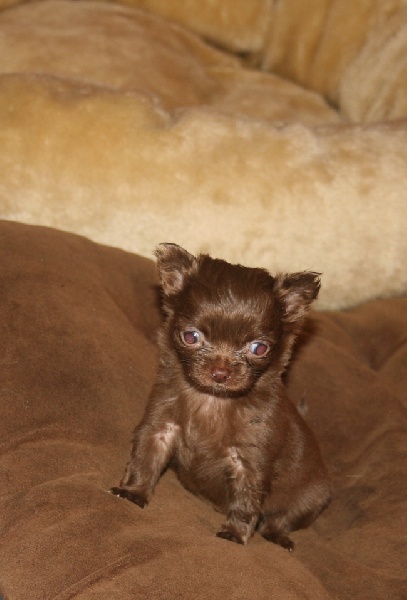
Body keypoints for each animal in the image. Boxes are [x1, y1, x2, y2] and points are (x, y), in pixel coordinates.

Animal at [110, 243, 331, 549]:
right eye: (191, 337)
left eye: (259, 348)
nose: (220, 372)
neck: (213, 400)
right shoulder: (159, 428)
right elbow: (145, 460)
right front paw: (133, 491)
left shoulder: (249, 463)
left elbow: (246, 502)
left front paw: (234, 534)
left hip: (311, 498)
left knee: (280, 519)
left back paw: (278, 537)